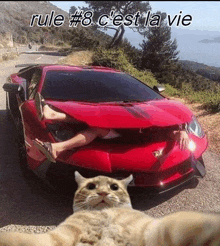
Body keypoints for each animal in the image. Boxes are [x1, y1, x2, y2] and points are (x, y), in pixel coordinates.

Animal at [0, 172, 220, 245]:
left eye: (114, 187)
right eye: (91, 186)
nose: (104, 193)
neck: (104, 215)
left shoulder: (154, 230)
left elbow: (185, 223)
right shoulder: (58, 237)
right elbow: (19, 239)